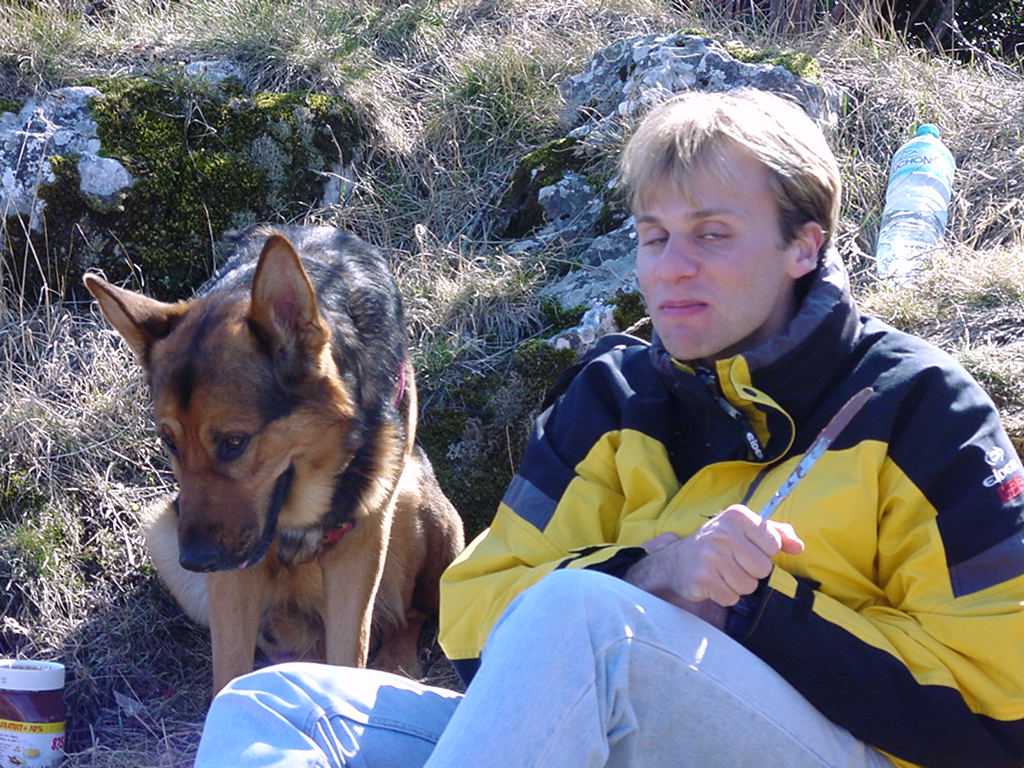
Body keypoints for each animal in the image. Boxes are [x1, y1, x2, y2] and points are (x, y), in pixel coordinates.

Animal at [84, 225, 465, 693]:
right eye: (169, 442)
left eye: (234, 441)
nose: (195, 560)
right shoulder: (233, 575)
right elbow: (228, 672)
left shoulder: (361, 544)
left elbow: (350, 654)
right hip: (162, 531)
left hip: (411, 496)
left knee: (411, 614)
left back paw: (395, 663)